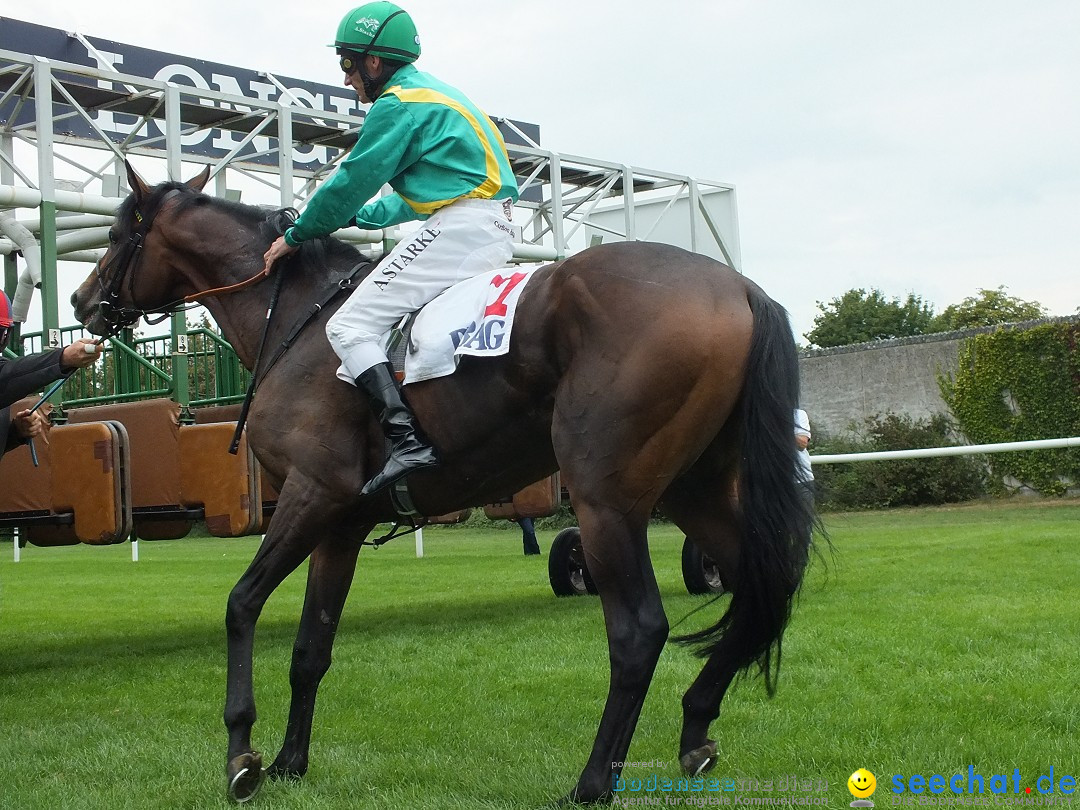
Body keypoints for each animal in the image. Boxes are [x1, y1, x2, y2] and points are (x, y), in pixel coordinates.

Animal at [71, 165, 812, 807]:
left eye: (119, 233)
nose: (81, 301)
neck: (300, 324)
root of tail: (738, 288)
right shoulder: (340, 526)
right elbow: (311, 648)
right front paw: (288, 761)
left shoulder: (313, 496)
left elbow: (241, 604)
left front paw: (241, 755)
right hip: (694, 488)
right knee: (760, 589)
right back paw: (695, 729)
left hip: (607, 499)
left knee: (640, 631)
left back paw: (593, 780)